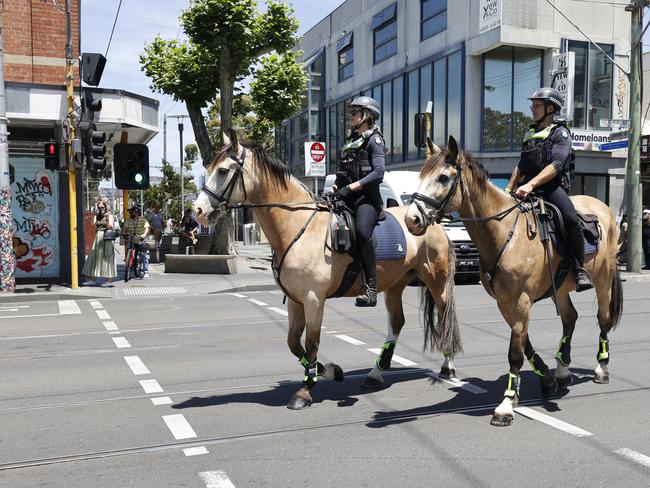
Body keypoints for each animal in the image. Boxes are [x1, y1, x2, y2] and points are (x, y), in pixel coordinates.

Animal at [191, 130, 460, 408]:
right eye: (209, 168)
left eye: (223, 170)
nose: (197, 211)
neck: (299, 227)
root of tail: (432, 220)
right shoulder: (296, 300)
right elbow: (293, 343)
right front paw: (329, 371)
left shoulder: (313, 299)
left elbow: (311, 342)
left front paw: (305, 391)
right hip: (395, 285)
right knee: (396, 322)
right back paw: (376, 373)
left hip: (436, 281)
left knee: (445, 316)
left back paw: (447, 366)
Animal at [402, 135, 620, 426]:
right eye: (422, 176)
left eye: (444, 178)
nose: (411, 219)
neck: (504, 233)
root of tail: (603, 208)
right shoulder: (505, 303)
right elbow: (523, 344)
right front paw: (546, 380)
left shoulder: (521, 301)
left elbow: (515, 352)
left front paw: (506, 405)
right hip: (561, 287)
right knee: (570, 318)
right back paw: (562, 370)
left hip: (604, 280)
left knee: (603, 319)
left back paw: (601, 368)